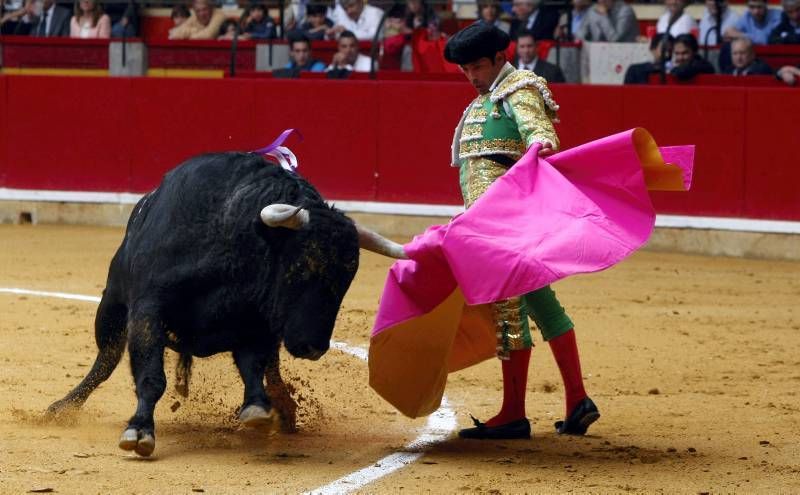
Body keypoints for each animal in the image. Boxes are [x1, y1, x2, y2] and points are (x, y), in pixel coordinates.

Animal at [45, 151, 406, 458]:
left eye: (347, 279)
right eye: (301, 266)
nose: (314, 347)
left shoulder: (254, 325)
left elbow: (253, 367)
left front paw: (259, 409)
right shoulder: (148, 309)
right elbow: (150, 375)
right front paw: (139, 431)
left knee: (272, 370)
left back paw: (284, 410)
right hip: (111, 307)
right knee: (105, 360)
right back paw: (62, 408)